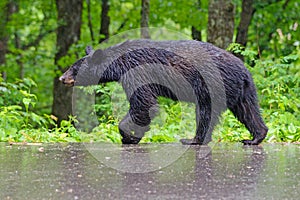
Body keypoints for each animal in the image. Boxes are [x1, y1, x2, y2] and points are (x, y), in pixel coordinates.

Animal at [59, 39, 268, 145]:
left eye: (74, 69)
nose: (62, 78)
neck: (119, 61)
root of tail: (243, 72)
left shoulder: (137, 70)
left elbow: (144, 103)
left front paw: (129, 136)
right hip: (243, 91)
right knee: (248, 111)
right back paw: (256, 137)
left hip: (212, 86)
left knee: (205, 113)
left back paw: (194, 140)